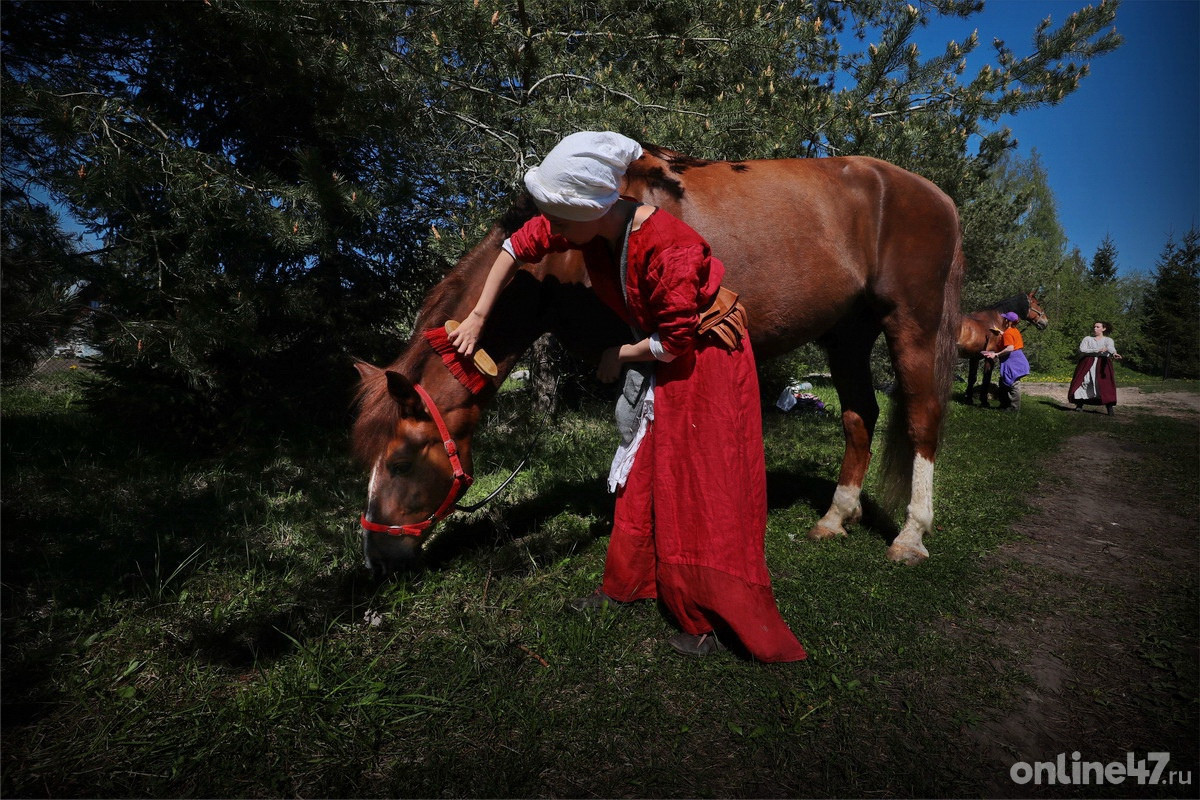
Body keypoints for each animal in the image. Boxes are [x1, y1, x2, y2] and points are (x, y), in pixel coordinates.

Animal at [352, 148, 964, 575]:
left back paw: (911, 536)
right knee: (860, 415)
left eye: (401, 462)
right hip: (848, 335)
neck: (568, 262)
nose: (377, 559)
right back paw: (836, 517)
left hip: (911, 324)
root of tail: (934, 195)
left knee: (923, 419)